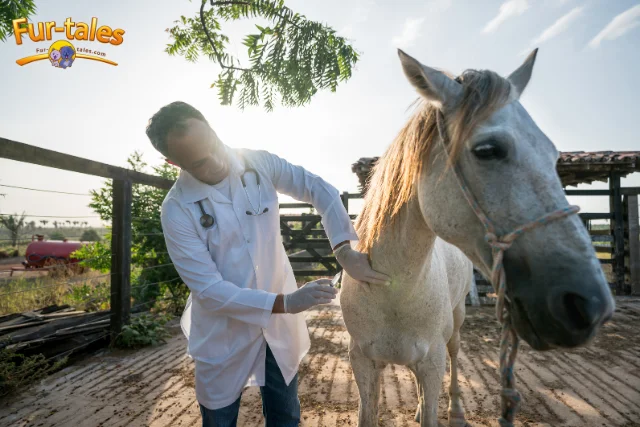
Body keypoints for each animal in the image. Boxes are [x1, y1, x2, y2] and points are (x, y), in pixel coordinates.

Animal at [339, 48, 615, 427]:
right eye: (487, 150)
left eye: (553, 155)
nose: (591, 305)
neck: (391, 289)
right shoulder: (363, 364)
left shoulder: (432, 361)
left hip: (454, 326)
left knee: (454, 359)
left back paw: (455, 411)